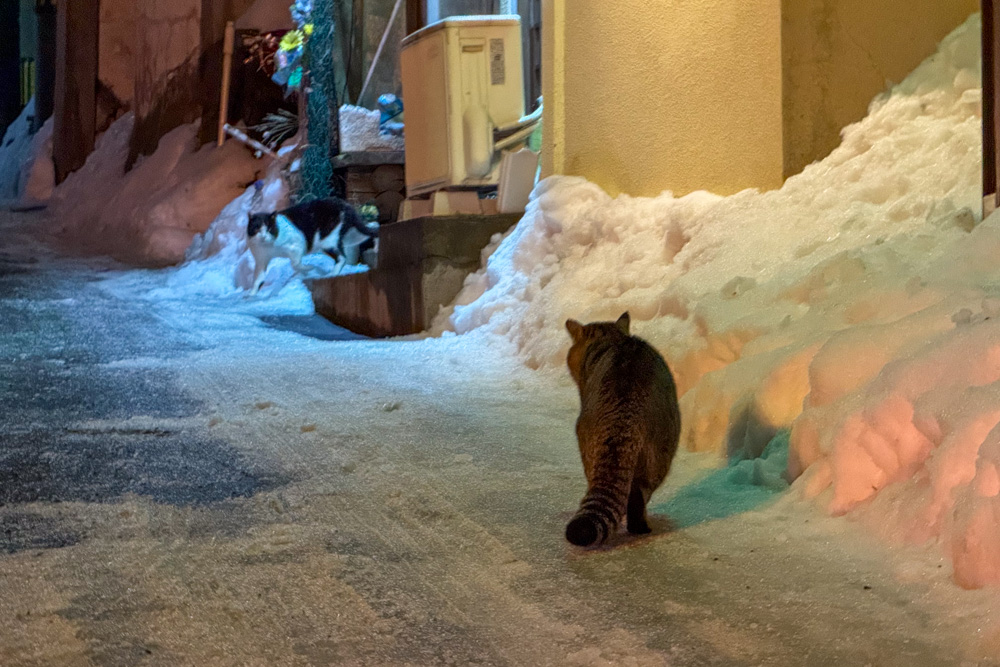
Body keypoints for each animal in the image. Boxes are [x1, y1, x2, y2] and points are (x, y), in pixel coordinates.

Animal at [246, 197, 378, 294]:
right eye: (257, 228)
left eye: (269, 229)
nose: (263, 236)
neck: (268, 247)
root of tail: (346, 205)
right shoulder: (261, 260)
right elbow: (257, 279)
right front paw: (251, 295)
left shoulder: (297, 244)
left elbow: (295, 264)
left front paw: (308, 269)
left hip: (328, 240)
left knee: (342, 257)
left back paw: (332, 274)